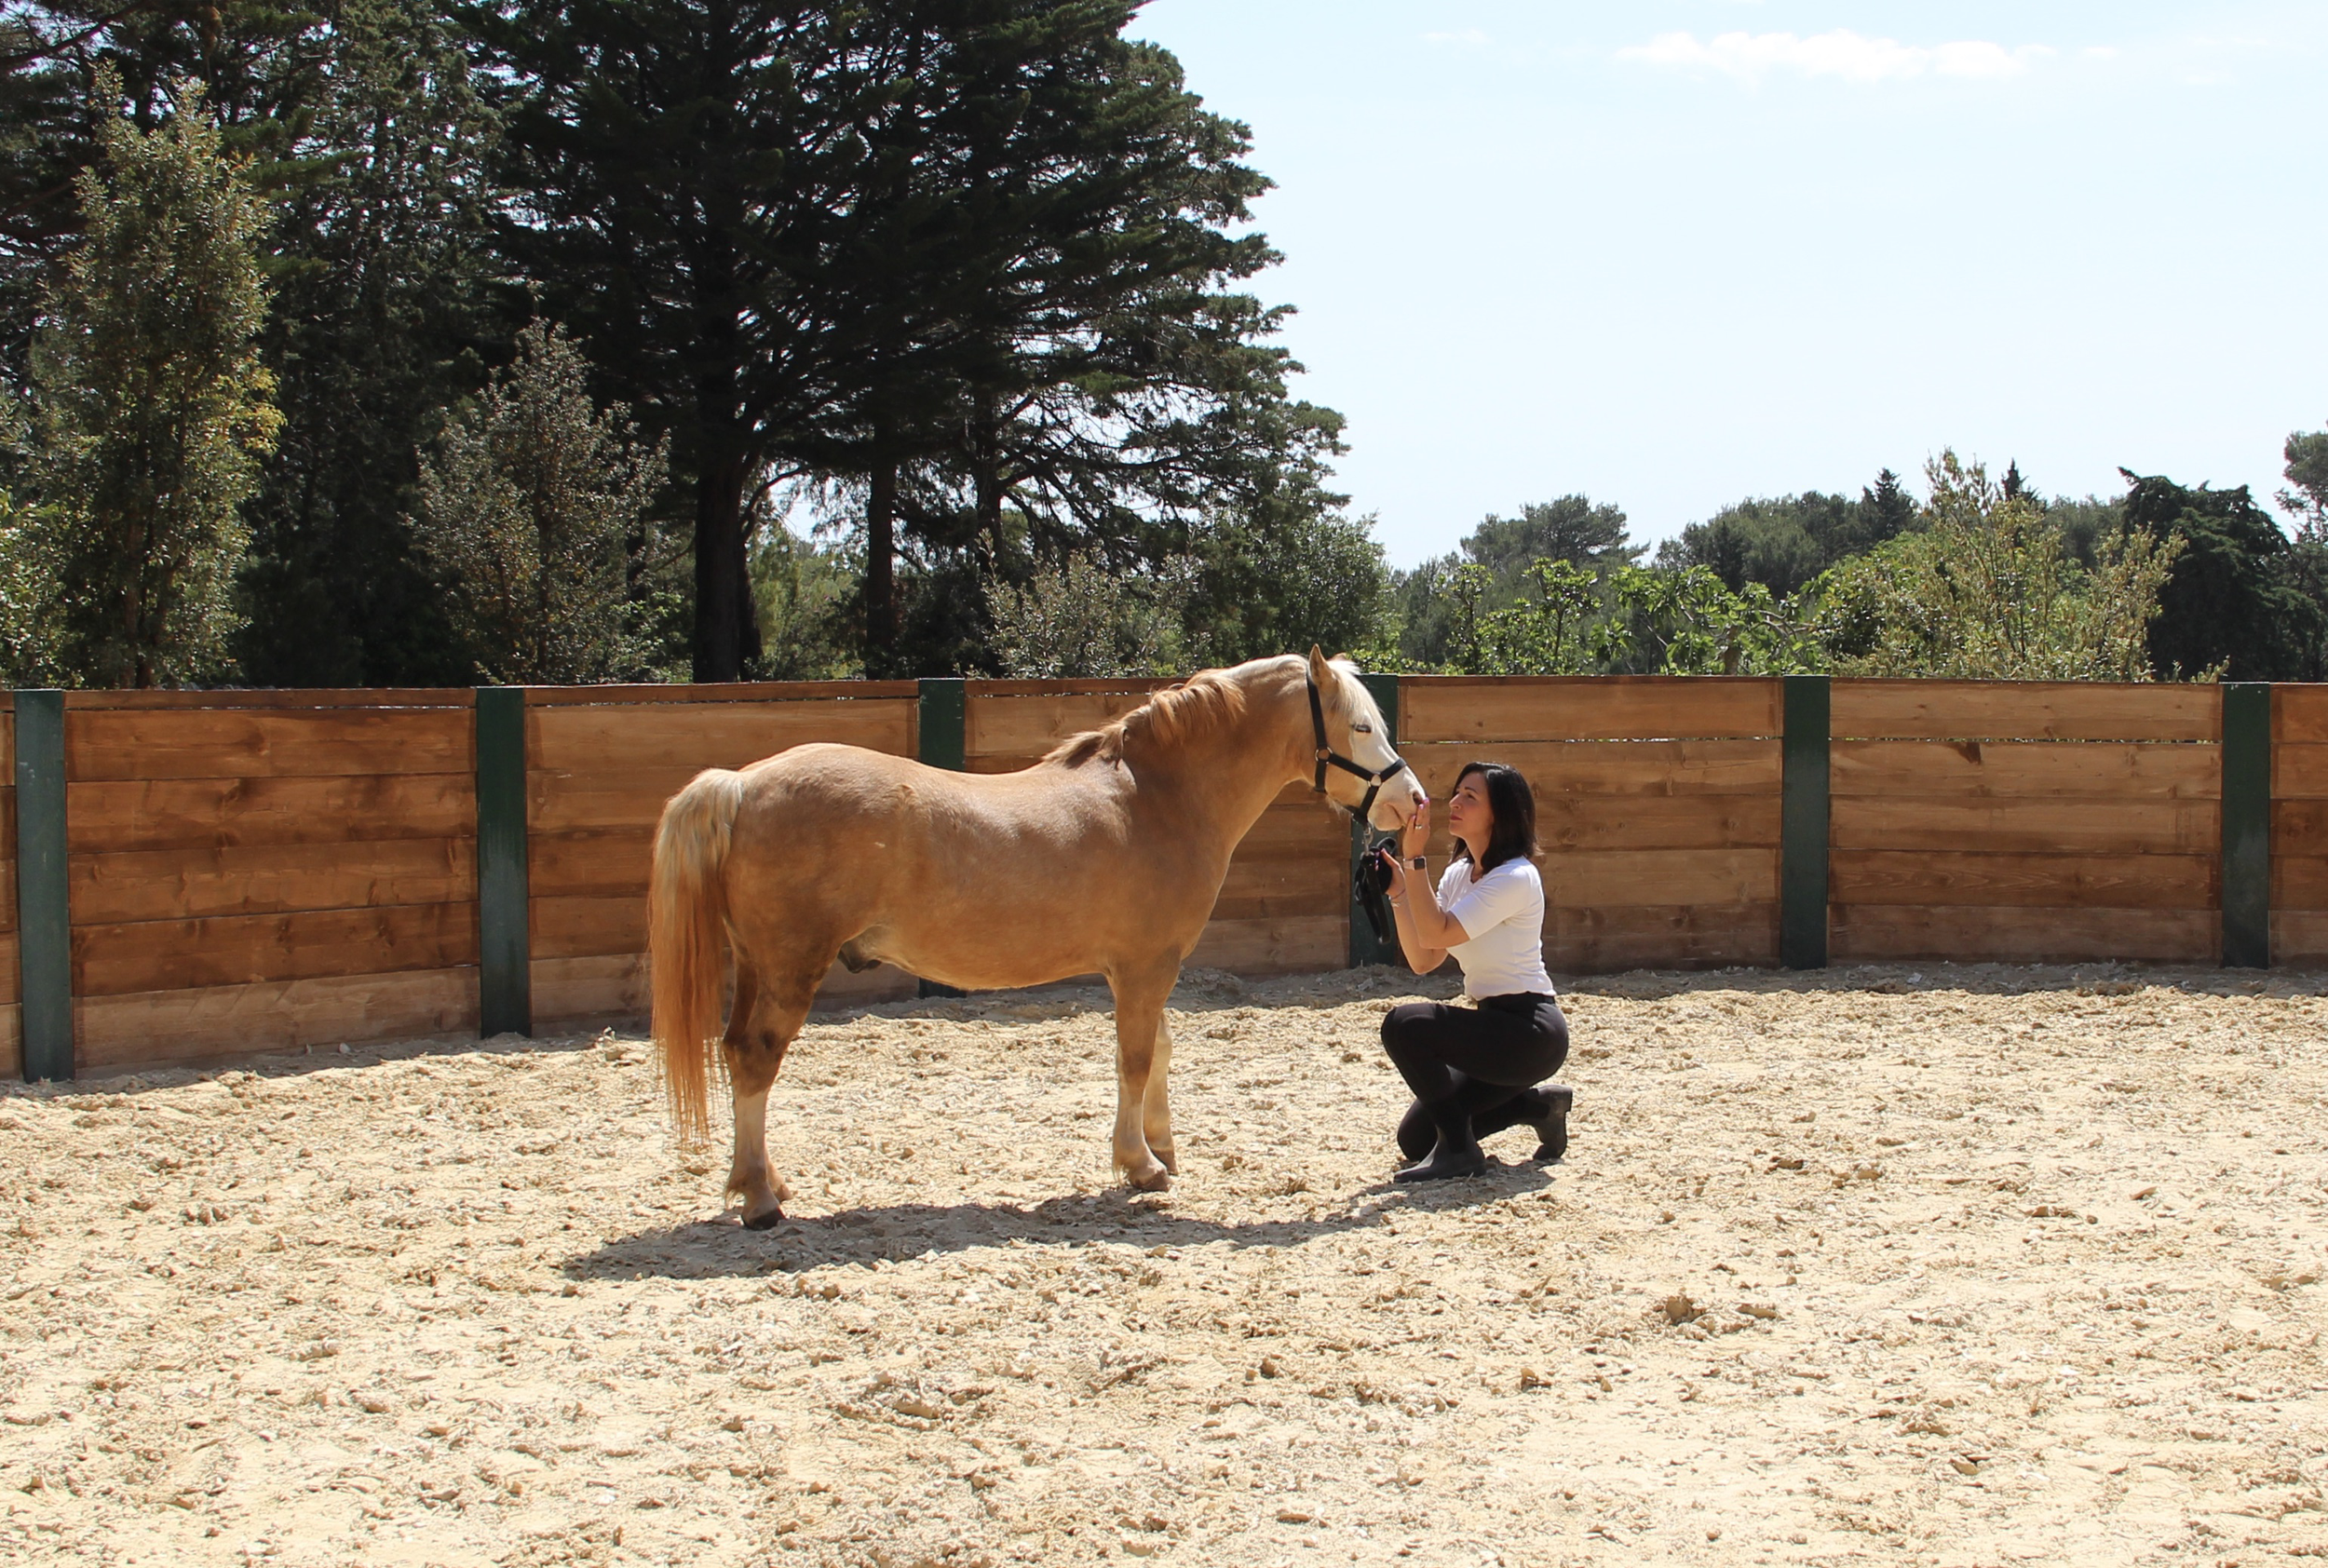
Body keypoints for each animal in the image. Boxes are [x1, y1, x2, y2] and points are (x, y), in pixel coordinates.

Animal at [648, 648, 1426, 1228]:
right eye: (1360, 727)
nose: (1411, 799)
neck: (1155, 798)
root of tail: (741, 785)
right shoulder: (1142, 967)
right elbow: (1134, 1060)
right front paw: (1139, 1165)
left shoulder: (1148, 969)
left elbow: (1160, 1050)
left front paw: (1163, 1149)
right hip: (789, 968)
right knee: (756, 1060)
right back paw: (759, 1200)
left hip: (757, 967)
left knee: (736, 1054)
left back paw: (764, 1182)